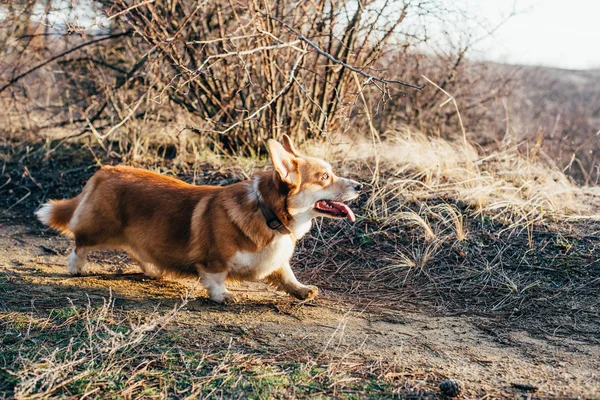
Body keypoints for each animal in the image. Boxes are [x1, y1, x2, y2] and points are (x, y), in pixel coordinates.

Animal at [36, 135, 360, 304]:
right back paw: (77, 268)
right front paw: (223, 295)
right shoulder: (214, 259)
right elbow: (215, 277)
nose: (360, 186)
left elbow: (287, 275)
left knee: (138, 252)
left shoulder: (276, 261)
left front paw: (302, 290)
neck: (267, 213)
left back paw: (154, 271)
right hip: (100, 228)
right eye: (324, 177)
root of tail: (103, 171)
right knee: (79, 244)